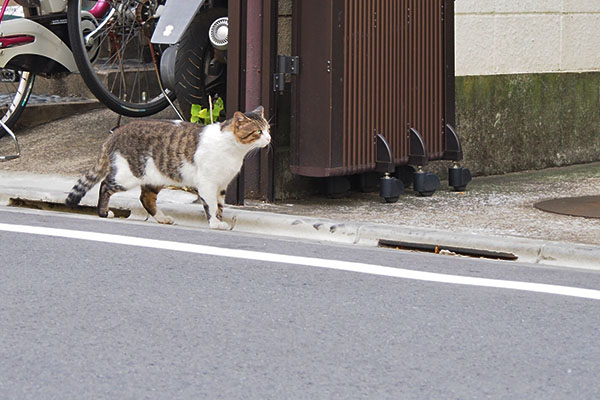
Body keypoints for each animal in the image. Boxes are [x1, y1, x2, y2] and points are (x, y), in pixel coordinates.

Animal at [65, 106, 270, 230]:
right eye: (258, 131)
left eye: (268, 128)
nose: (269, 138)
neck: (234, 149)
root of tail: (116, 133)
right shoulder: (208, 183)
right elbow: (210, 205)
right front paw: (215, 223)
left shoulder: (221, 186)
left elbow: (219, 206)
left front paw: (219, 221)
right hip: (128, 174)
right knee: (105, 185)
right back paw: (103, 212)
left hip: (154, 178)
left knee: (146, 199)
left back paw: (162, 218)